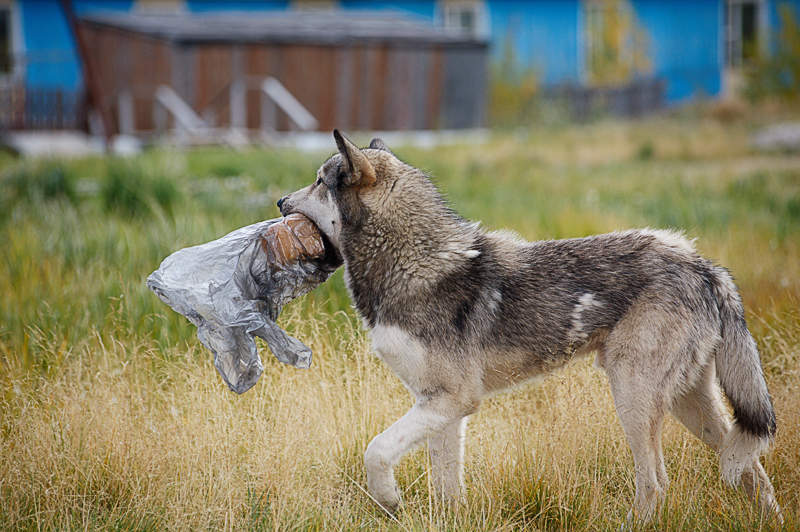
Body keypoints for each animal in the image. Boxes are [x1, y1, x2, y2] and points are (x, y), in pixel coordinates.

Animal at [276, 130, 780, 524]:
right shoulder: (439, 407)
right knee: (752, 472)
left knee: (656, 483)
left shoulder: (454, 400)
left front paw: (388, 500)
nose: (279, 201)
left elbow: (376, 450)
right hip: (691, 407)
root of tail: (704, 265)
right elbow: (445, 486)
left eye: (318, 182)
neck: (413, 264)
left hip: (633, 397)